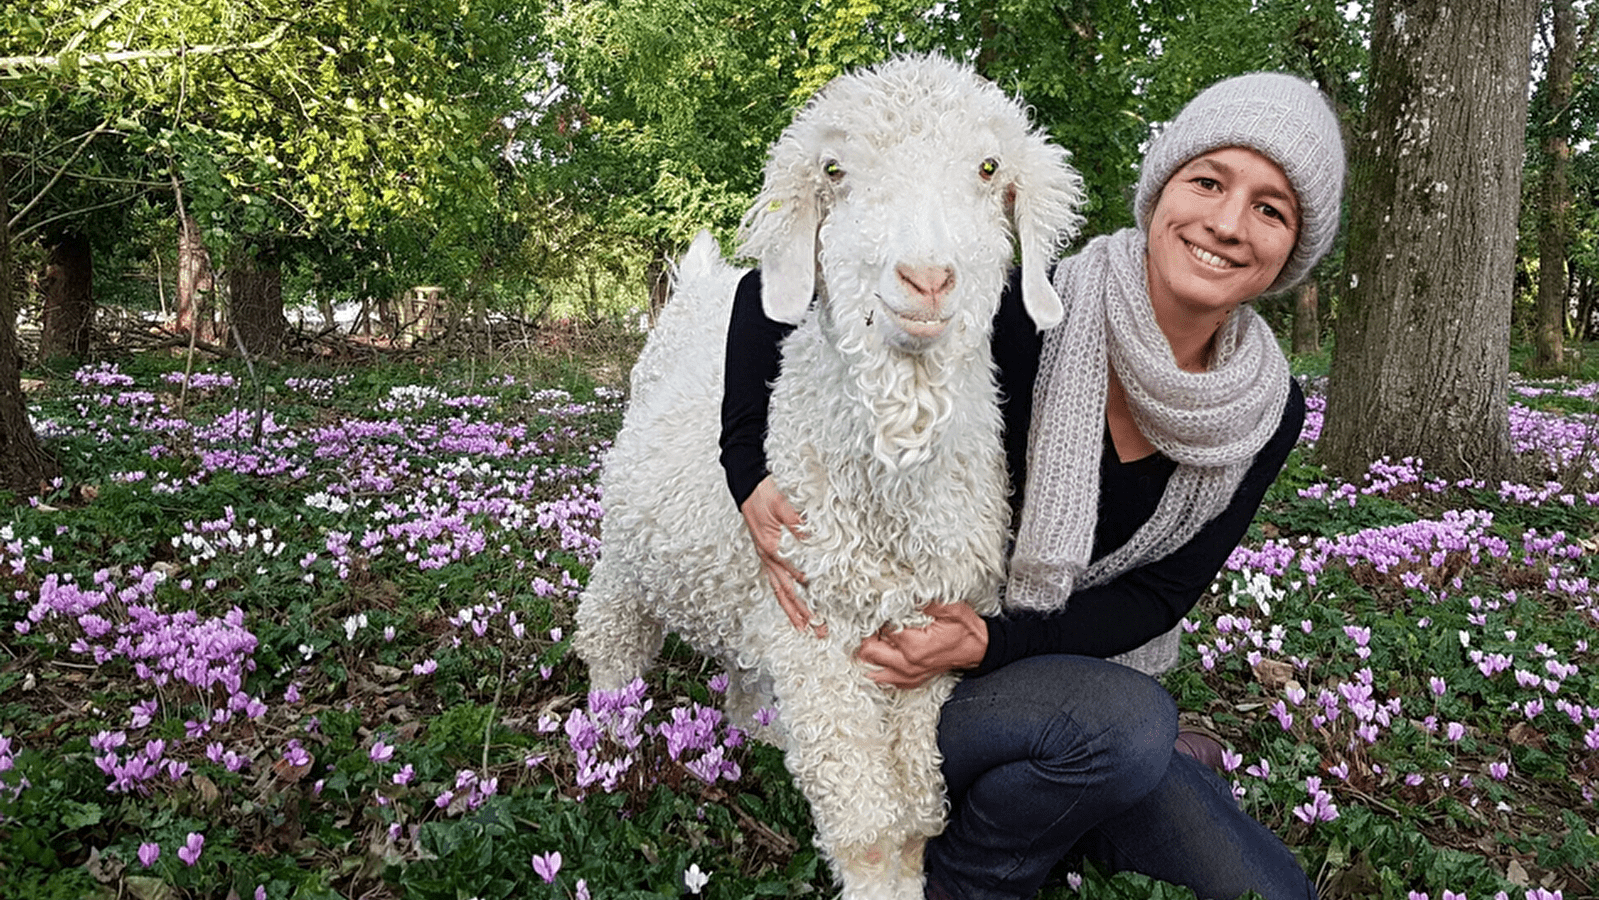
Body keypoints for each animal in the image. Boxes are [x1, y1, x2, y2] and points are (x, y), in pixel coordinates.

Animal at [575, 54, 1087, 900]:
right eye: (835, 171)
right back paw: (607, 740)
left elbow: (918, 804)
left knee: (738, 660)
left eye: (989, 169)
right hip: (627, 549)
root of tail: (700, 286)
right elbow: (867, 822)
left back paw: (751, 728)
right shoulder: (817, 636)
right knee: (610, 638)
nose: (925, 278)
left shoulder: (932, 636)